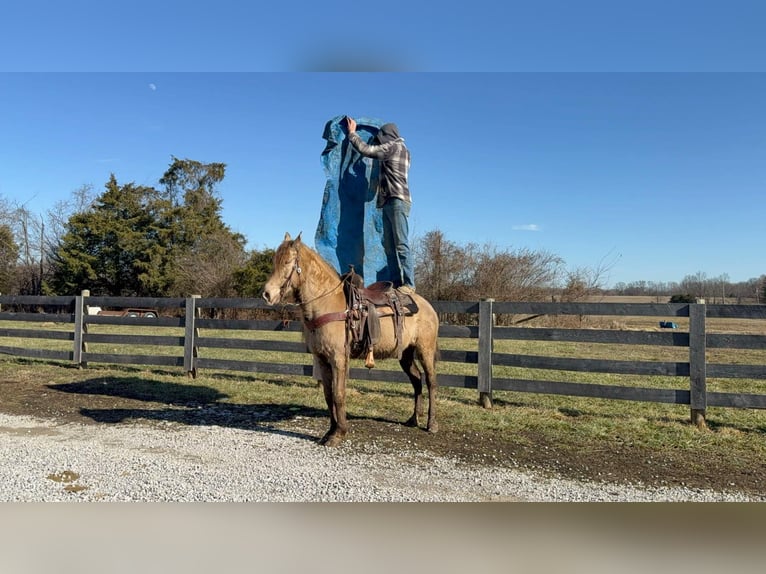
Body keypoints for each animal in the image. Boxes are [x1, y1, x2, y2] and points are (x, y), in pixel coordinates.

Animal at [262, 232, 438, 448]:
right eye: (274, 261)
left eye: (287, 262)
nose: (267, 294)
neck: (327, 303)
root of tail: (427, 306)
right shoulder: (322, 359)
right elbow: (328, 395)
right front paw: (330, 431)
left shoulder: (338, 358)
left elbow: (338, 395)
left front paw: (339, 434)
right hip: (405, 354)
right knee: (416, 380)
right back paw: (413, 419)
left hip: (425, 350)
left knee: (430, 382)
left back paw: (431, 424)